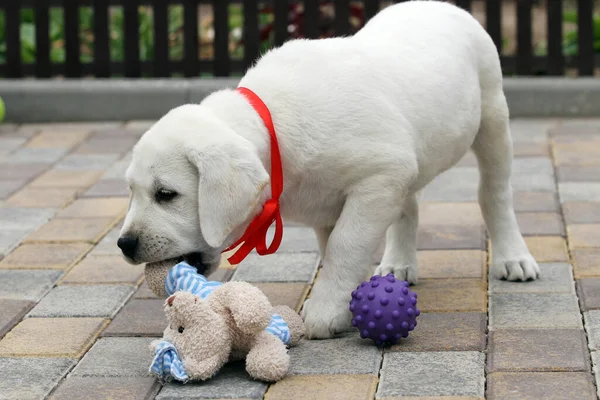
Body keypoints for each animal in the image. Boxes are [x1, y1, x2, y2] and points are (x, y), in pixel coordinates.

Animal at [118, 0, 540, 338]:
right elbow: (333, 245)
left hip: (492, 118)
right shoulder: (343, 196)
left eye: (166, 194)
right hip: (412, 158)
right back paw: (399, 264)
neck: (275, 129)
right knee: (409, 206)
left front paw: (325, 311)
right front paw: (345, 300)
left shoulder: (379, 176)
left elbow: (345, 245)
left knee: (494, 193)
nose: (124, 244)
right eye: (132, 192)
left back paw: (512, 257)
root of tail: (443, 5)